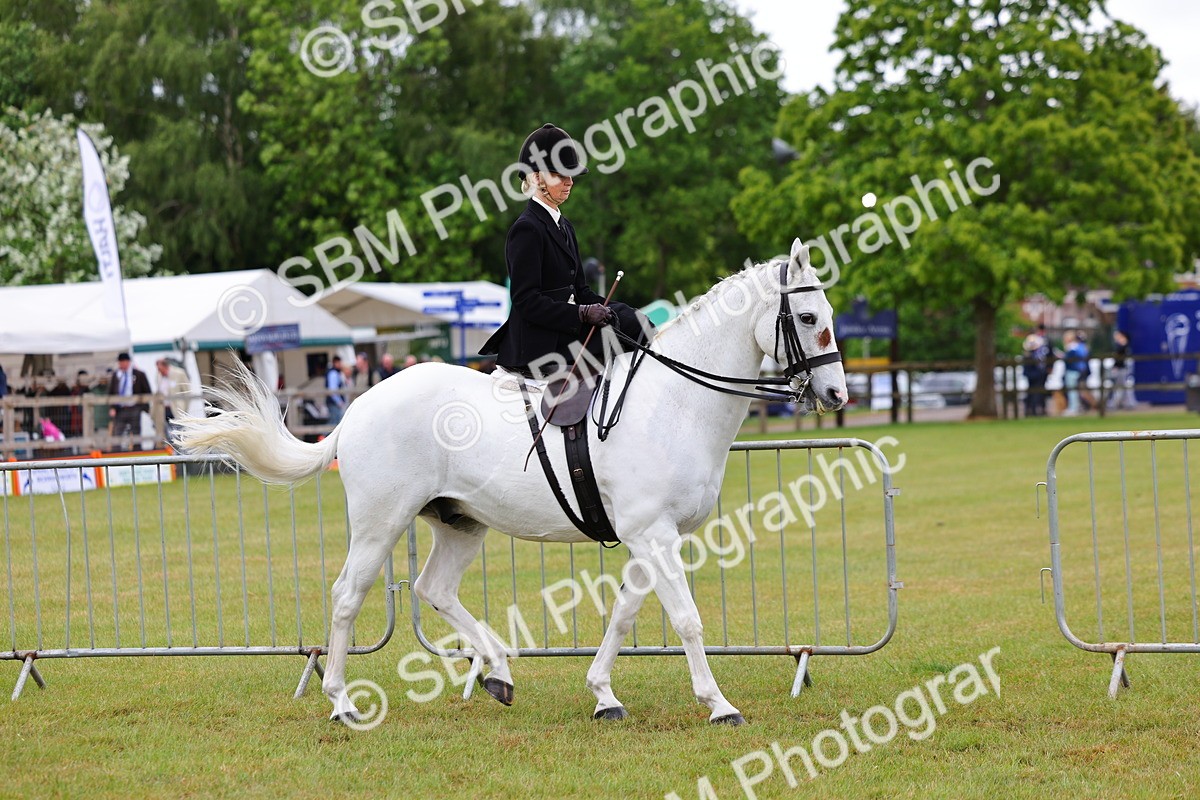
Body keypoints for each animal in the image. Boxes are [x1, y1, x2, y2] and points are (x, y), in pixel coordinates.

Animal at [174, 238, 847, 726]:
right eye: (808, 316)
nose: (837, 396)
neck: (673, 403)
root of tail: (361, 404)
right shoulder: (654, 535)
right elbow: (686, 620)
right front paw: (720, 706)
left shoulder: (647, 537)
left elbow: (625, 614)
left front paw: (604, 695)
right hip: (379, 522)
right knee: (348, 594)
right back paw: (341, 702)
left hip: (460, 523)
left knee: (434, 589)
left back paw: (497, 671)